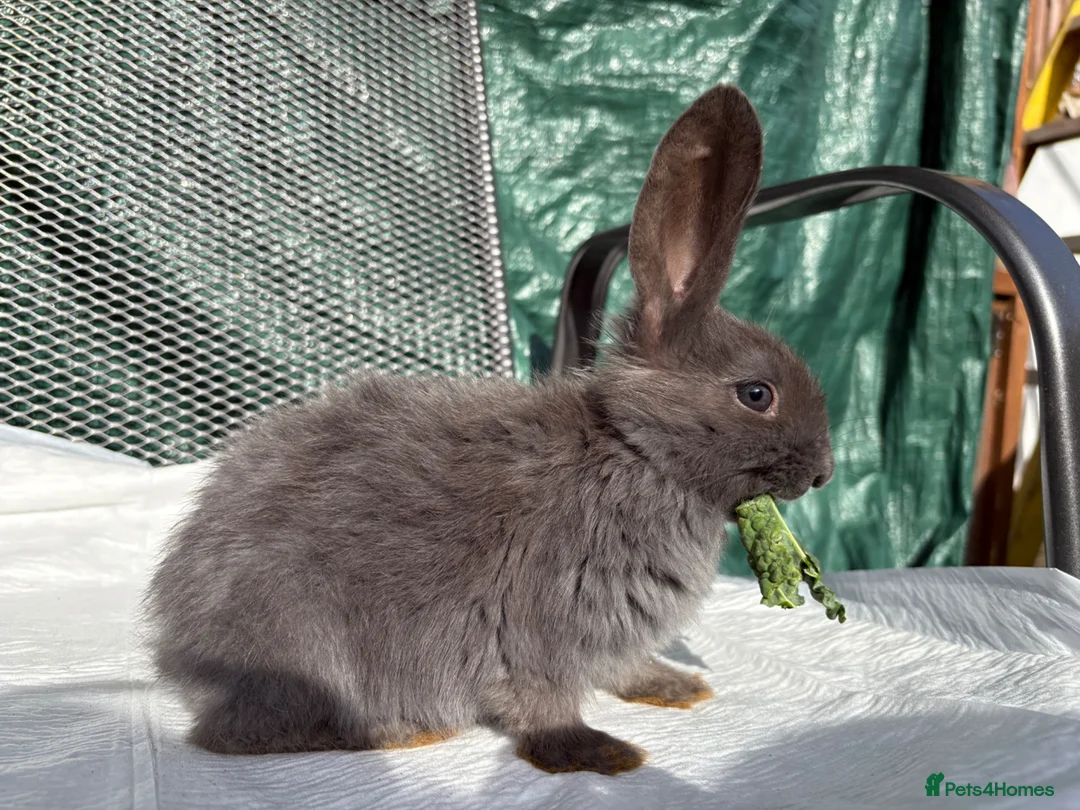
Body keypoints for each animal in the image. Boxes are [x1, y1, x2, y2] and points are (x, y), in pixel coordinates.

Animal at [141, 82, 834, 777]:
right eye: (756, 394)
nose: (825, 473)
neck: (635, 450)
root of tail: (180, 644)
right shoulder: (544, 618)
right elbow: (543, 699)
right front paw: (602, 754)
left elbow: (624, 668)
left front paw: (675, 686)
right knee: (243, 735)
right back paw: (404, 732)